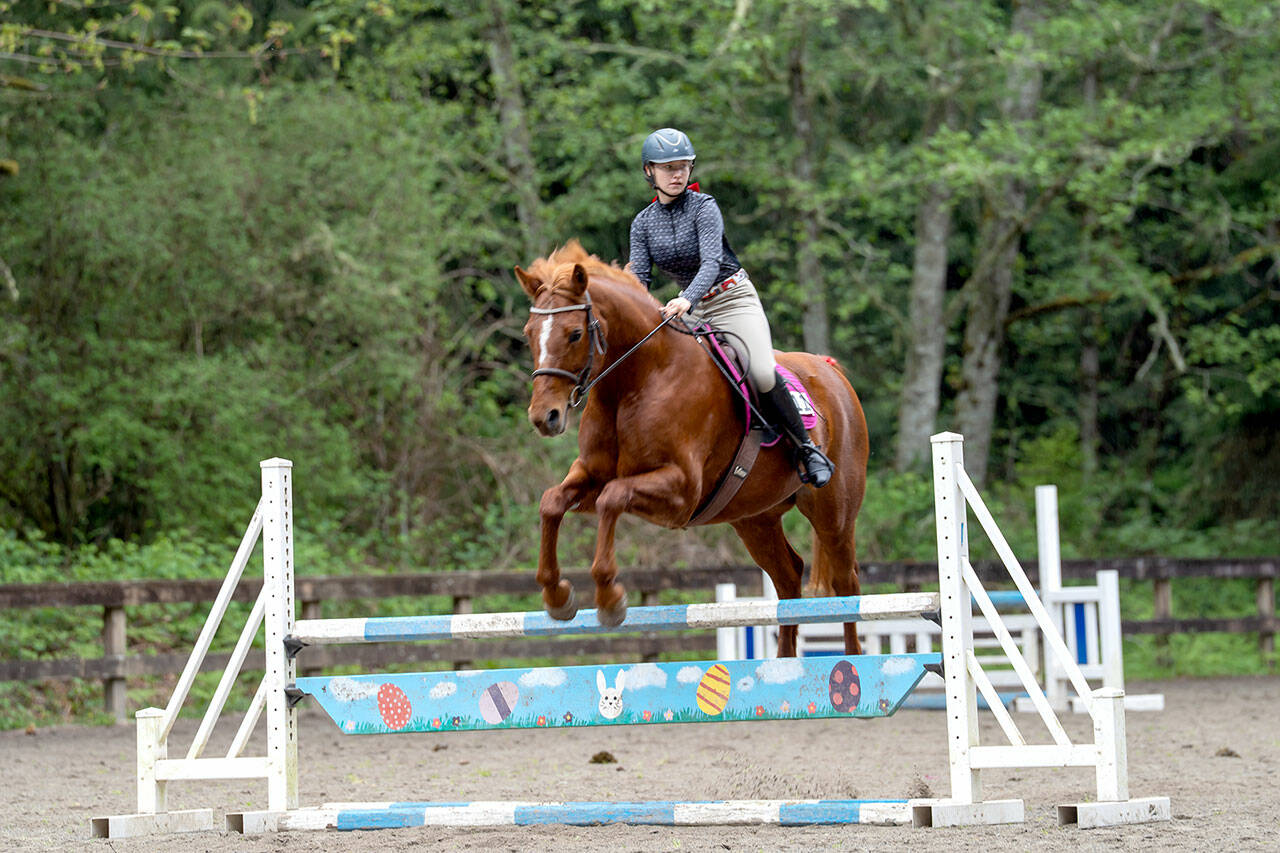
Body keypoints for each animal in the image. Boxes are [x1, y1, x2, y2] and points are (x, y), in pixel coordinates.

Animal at [514, 241, 870, 657]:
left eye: (573, 334)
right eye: (529, 333)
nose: (545, 417)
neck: (638, 379)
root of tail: (832, 371)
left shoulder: (681, 491)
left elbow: (612, 499)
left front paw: (610, 599)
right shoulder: (591, 476)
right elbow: (552, 502)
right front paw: (557, 596)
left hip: (834, 512)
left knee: (846, 584)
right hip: (755, 518)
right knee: (788, 578)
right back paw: (784, 665)